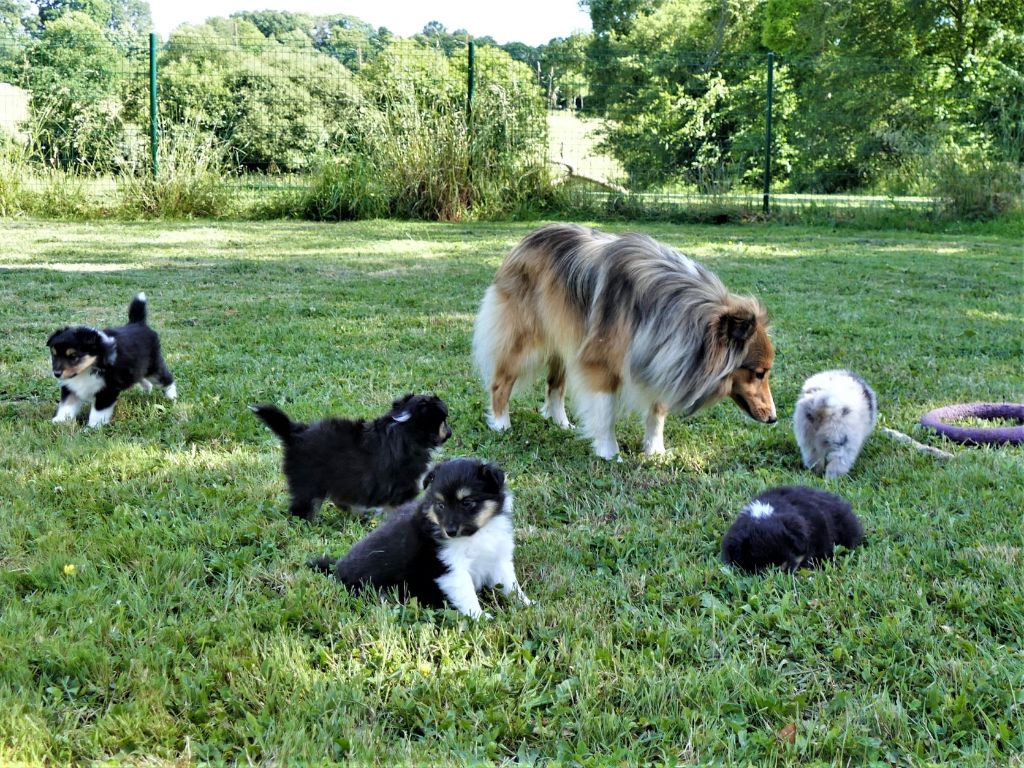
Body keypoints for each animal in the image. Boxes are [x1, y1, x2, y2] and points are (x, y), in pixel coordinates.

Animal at [48, 290, 177, 430]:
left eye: (73, 356)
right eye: (54, 355)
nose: (56, 374)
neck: (89, 367)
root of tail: (138, 323)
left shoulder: (107, 390)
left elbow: (98, 412)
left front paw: (92, 428)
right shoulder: (70, 387)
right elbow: (66, 405)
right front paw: (59, 420)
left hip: (153, 367)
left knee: (166, 379)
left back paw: (172, 396)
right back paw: (147, 390)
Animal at [249, 397, 450, 524]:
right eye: (445, 421)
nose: (450, 432)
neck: (405, 427)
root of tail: (295, 433)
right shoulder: (405, 485)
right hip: (308, 483)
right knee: (302, 509)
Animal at [307, 460, 532, 622]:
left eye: (467, 502)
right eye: (440, 505)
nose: (450, 531)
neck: (476, 534)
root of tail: (337, 570)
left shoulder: (498, 559)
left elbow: (511, 585)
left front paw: (528, 604)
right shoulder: (450, 568)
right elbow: (467, 593)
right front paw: (480, 617)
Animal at [471, 225, 774, 460]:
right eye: (759, 373)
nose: (773, 418)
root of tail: (526, 239)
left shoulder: (659, 356)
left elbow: (657, 411)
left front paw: (655, 451)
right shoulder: (601, 362)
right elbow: (606, 412)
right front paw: (609, 453)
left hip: (567, 339)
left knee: (555, 385)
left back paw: (561, 422)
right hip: (524, 341)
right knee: (501, 382)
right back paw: (501, 424)